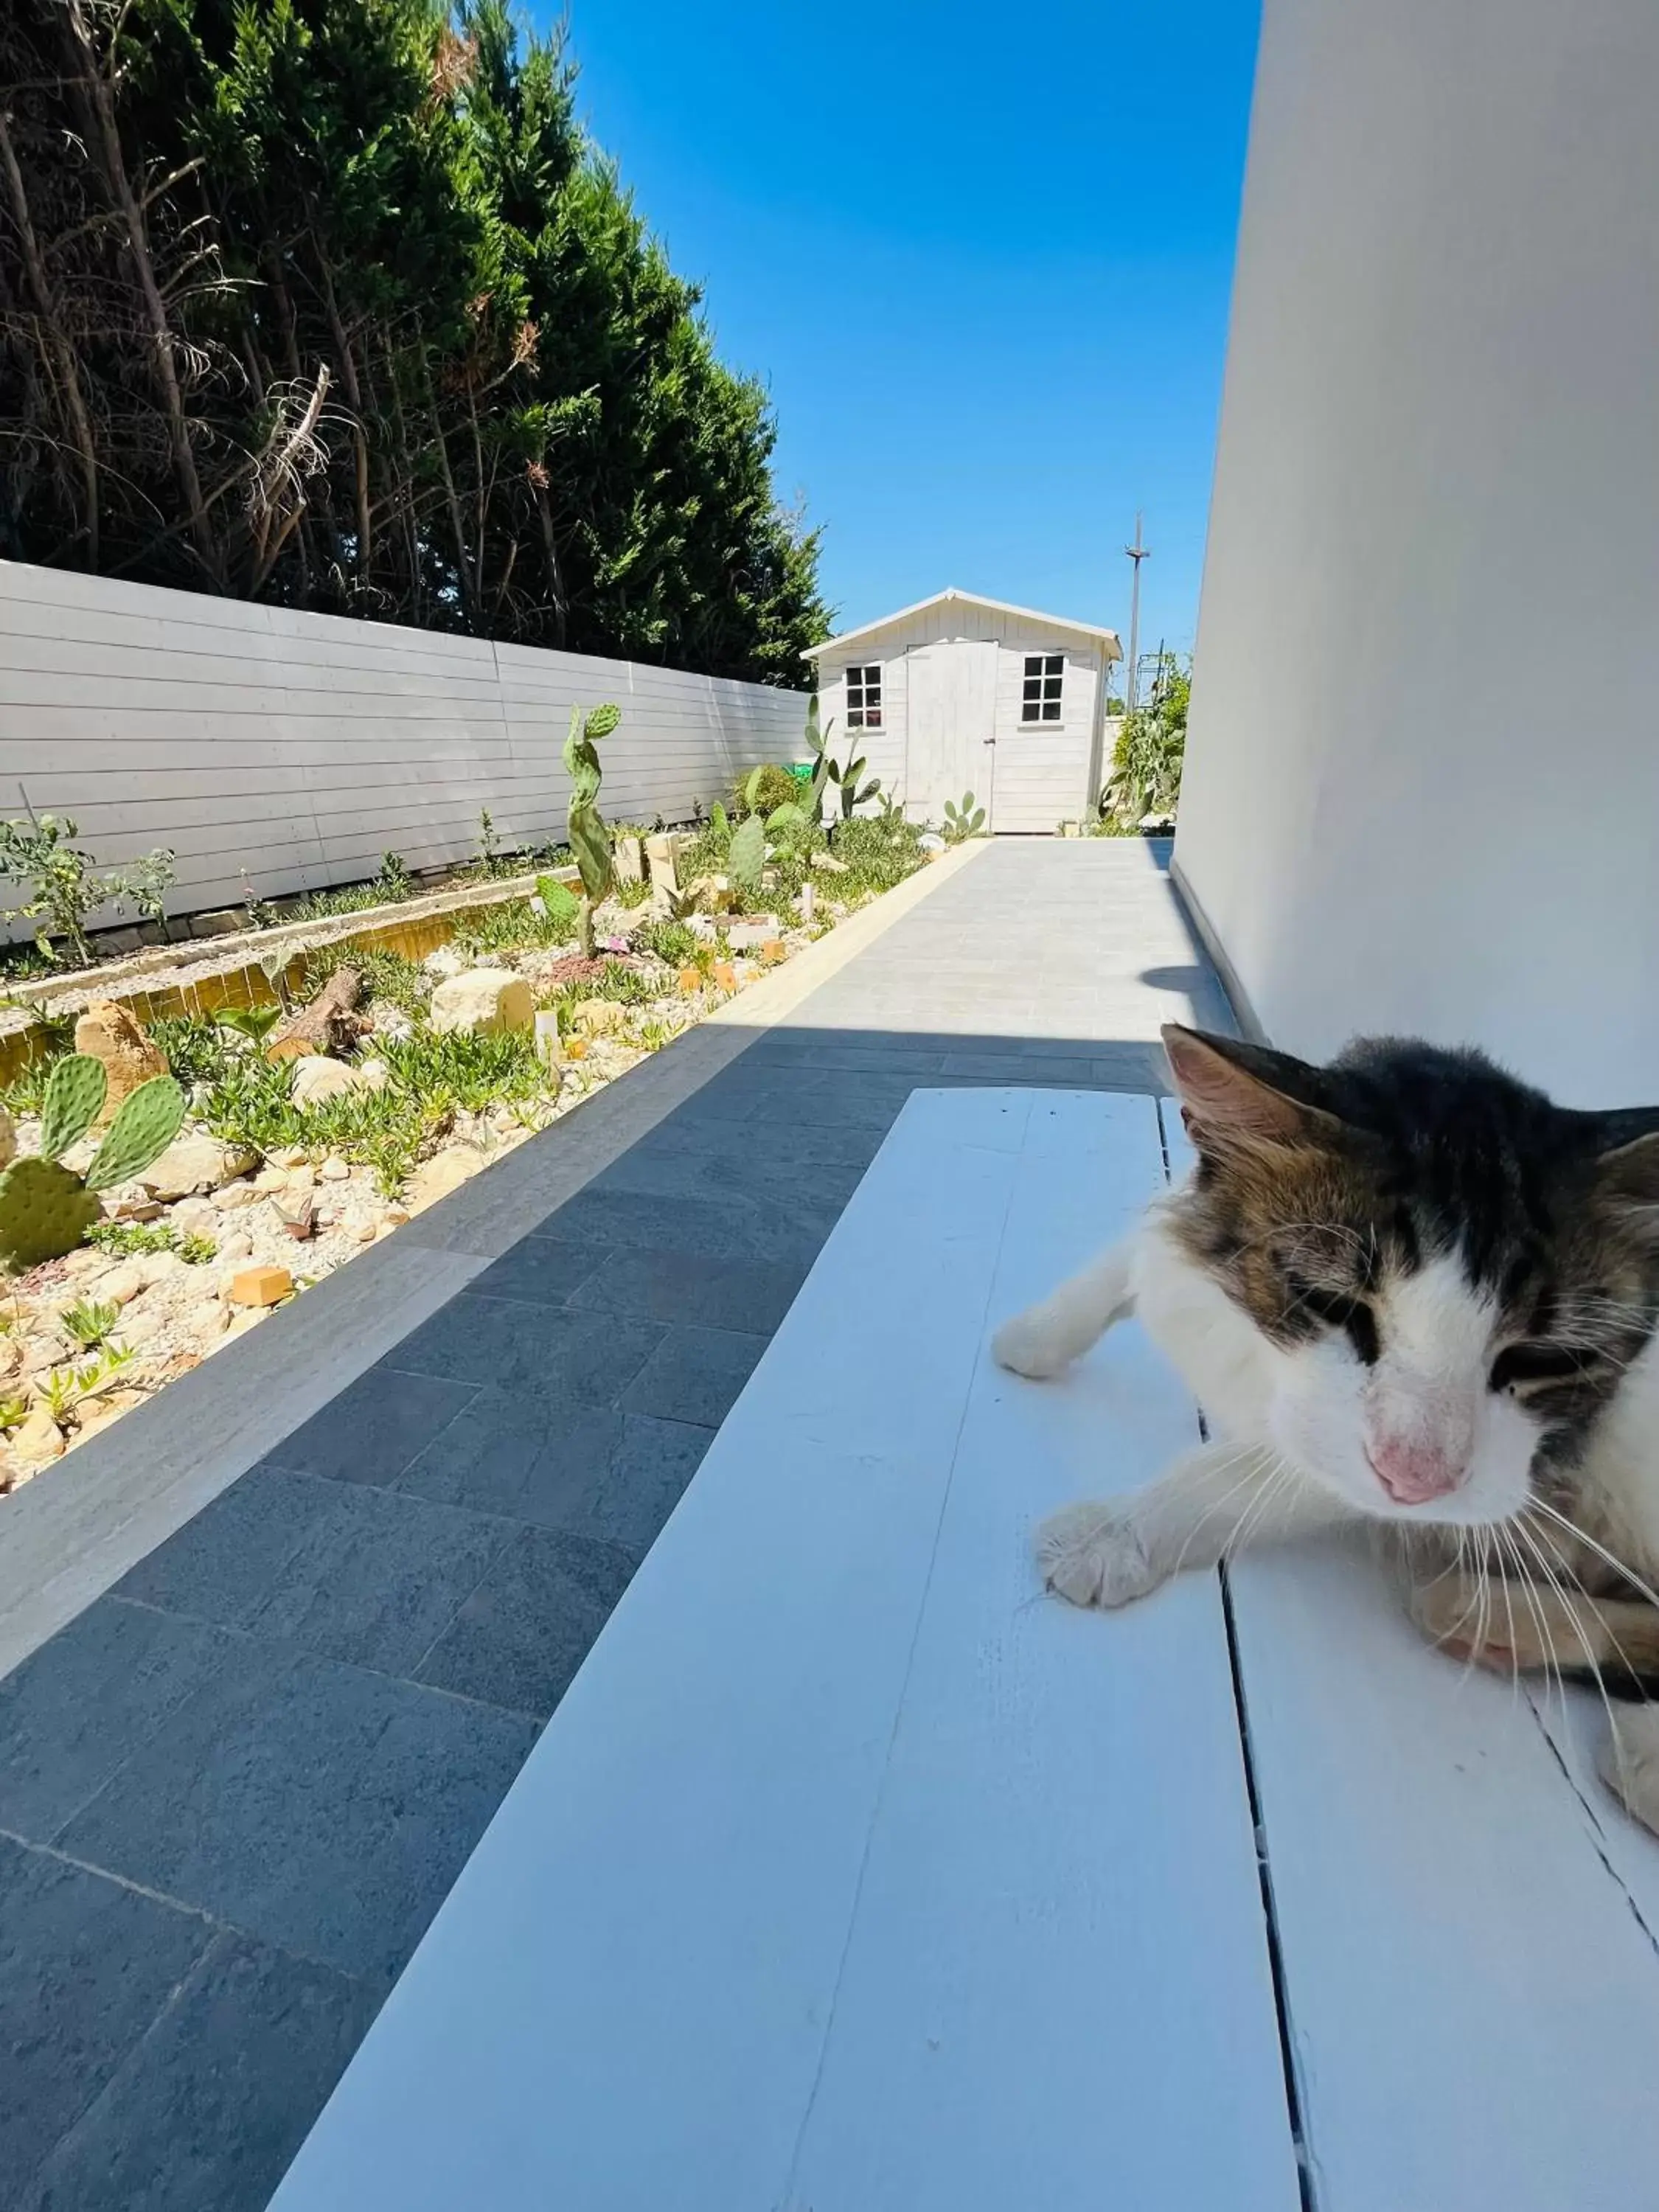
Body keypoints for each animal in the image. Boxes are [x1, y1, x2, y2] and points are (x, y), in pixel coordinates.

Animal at [995, 1026, 1659, 1840]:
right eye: (1332, 1304)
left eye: (1543, 1358)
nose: (1416, 1481)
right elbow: (1137, 1251)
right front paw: (1037, 1333)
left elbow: (1232, 1476)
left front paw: (1114, 1533)